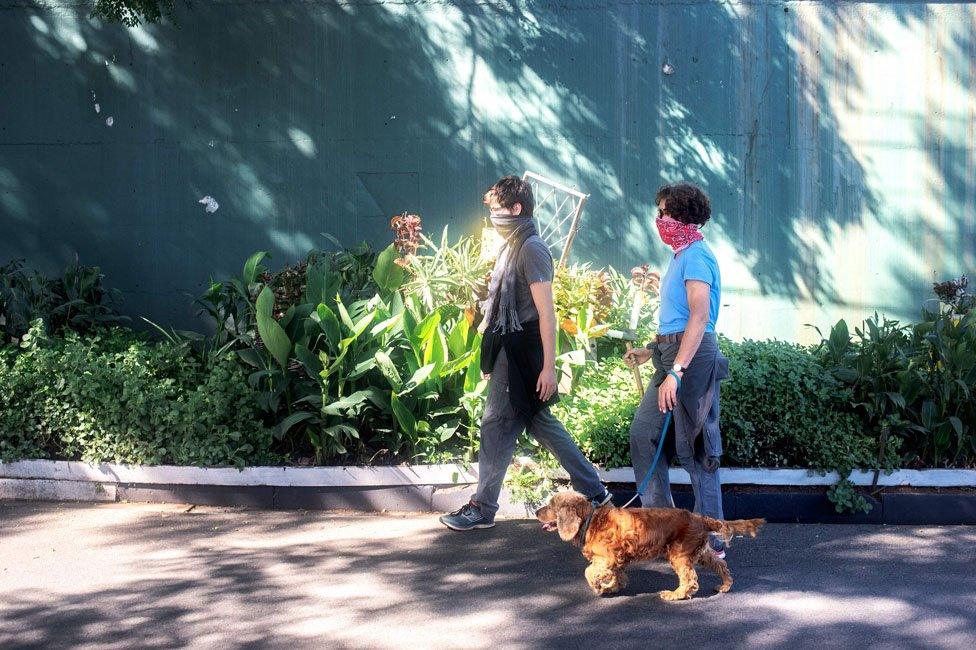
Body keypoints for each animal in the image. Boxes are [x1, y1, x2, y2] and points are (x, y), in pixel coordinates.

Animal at [536, 492, 768, 596]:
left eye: (550, 506)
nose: (537, 512)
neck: (590, 519)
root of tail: (700, 518)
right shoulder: (617, 559)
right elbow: (616, 574)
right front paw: (612, 586)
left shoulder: (606, 558)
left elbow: (589, 572)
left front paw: (598, 586)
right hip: (700, 552)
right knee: (720, 565)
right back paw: (725, 585)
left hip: (679, 553)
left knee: (690, 579)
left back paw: (675, 595)